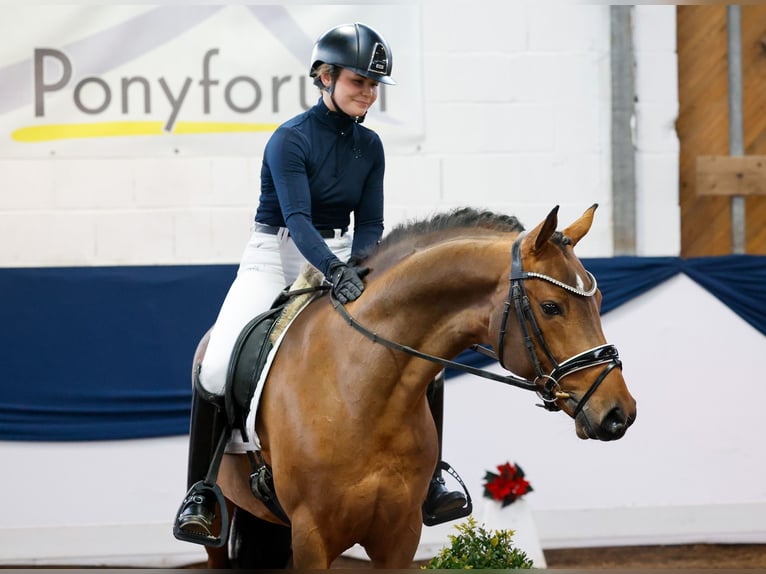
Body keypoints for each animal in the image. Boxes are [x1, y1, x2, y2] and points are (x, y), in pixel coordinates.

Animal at [196, 205, 636, 568]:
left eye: (599, 301)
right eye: (550, 307)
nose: (619, 413)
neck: (360, 395)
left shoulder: (399, 537)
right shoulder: (311, 537)